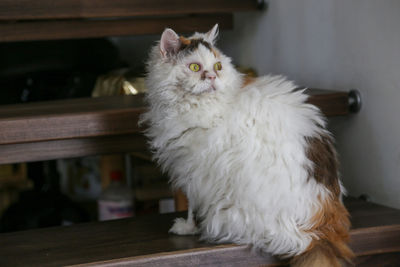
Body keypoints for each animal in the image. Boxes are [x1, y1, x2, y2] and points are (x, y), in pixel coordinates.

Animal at [141, 24, 354, 266]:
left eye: (217, 66)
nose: (212, 76)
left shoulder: (194, 171)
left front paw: (187, 228)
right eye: (195, 67)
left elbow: (191, 207)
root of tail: (321, 229)